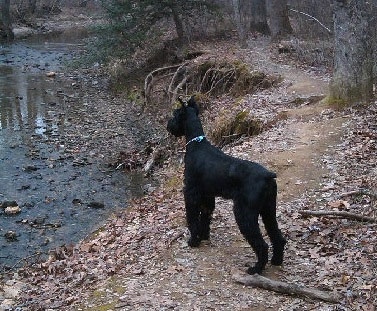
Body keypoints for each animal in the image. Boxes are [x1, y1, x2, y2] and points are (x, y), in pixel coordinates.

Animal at [166, 96, 286, 274]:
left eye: (175, 115)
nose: (168, 125)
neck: (196, 144)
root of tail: (267, 176)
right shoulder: (208, 196)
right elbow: (205, 217)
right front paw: (204, 236)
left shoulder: (191, 193)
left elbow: (192, 218)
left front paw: (194, 241)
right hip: (268, 210)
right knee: (277, 236)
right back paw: (276, 261)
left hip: (245, 213)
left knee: (262, 244)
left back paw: (256, 268)